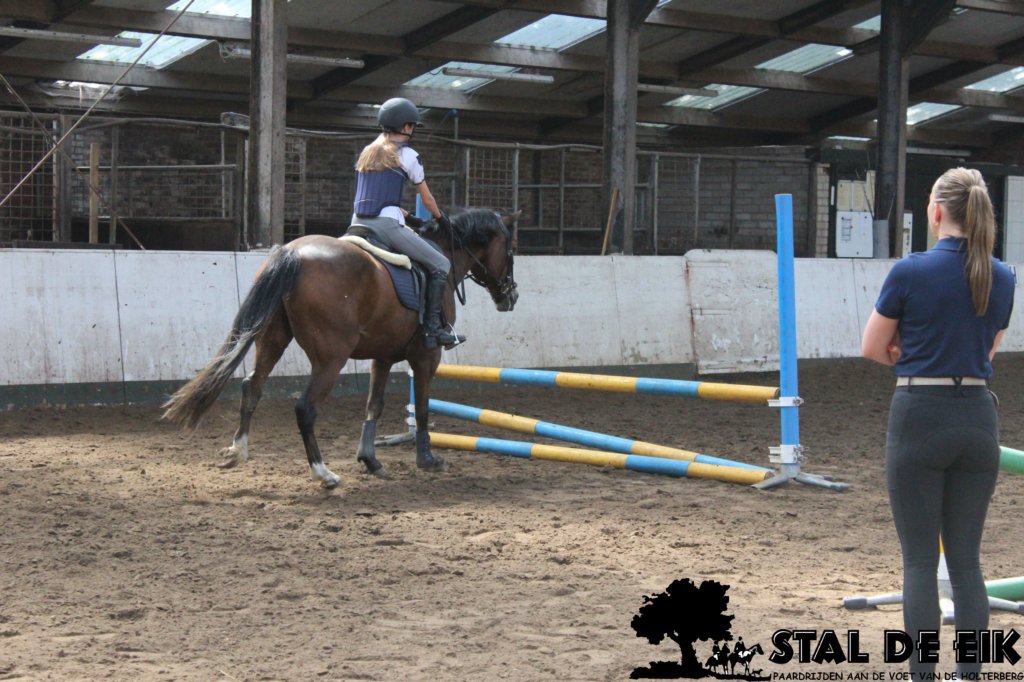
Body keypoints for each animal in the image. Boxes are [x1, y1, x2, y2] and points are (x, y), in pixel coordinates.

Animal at [162, 208, 519, 488]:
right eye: (511, 251)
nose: (511, 297)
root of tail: (293, 253)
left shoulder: (382, 357)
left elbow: (374, 405)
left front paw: (371, 461)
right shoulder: (426, 356)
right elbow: (422, 407)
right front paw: (428, 460)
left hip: (272, 339)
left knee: (253, 387)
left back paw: (238, 451)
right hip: (331, 358)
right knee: (305, 407)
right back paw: (324, 474)